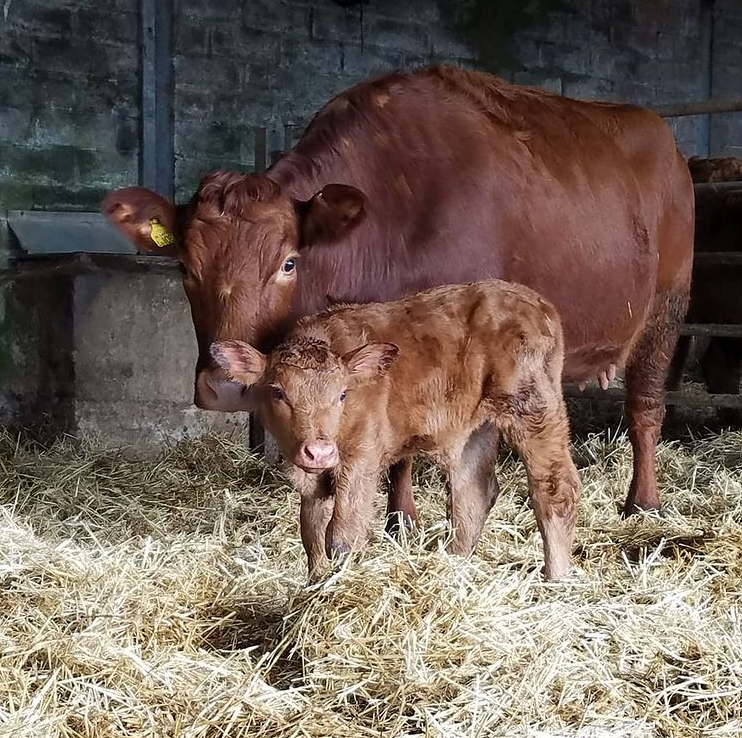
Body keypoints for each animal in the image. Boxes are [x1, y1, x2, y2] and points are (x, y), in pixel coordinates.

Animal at [102, 64, 694, 519]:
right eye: (185, 267)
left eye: (289, 262)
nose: (225, 386)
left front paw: (403, 516)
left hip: (666, 307)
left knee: (645, 407)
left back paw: (643, 502)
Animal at [211, 281, 581, 580]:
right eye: (277, 392)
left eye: (343, 394)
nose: (319, 450)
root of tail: (535, 301)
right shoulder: (312, 478)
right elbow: (312, 532)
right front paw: (314, 583)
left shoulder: (362, 456)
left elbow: (342, 534)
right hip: (474, 431)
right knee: (472, 494)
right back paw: (450, 568)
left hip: (533, 408)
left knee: (555, 488)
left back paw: (556, 578)